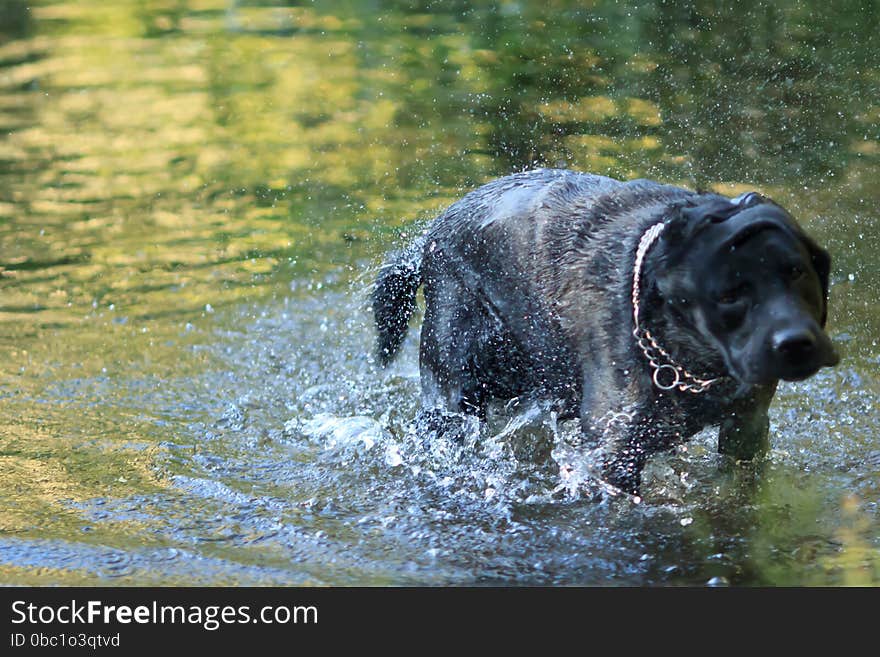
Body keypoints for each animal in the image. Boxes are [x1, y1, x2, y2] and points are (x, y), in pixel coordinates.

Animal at [372, 169, 840, 492]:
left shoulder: (748, 427)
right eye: (728, 294)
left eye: (797, 272)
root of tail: (430, 236)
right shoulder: (615, 455)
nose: (796, 343)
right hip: (453, 395)